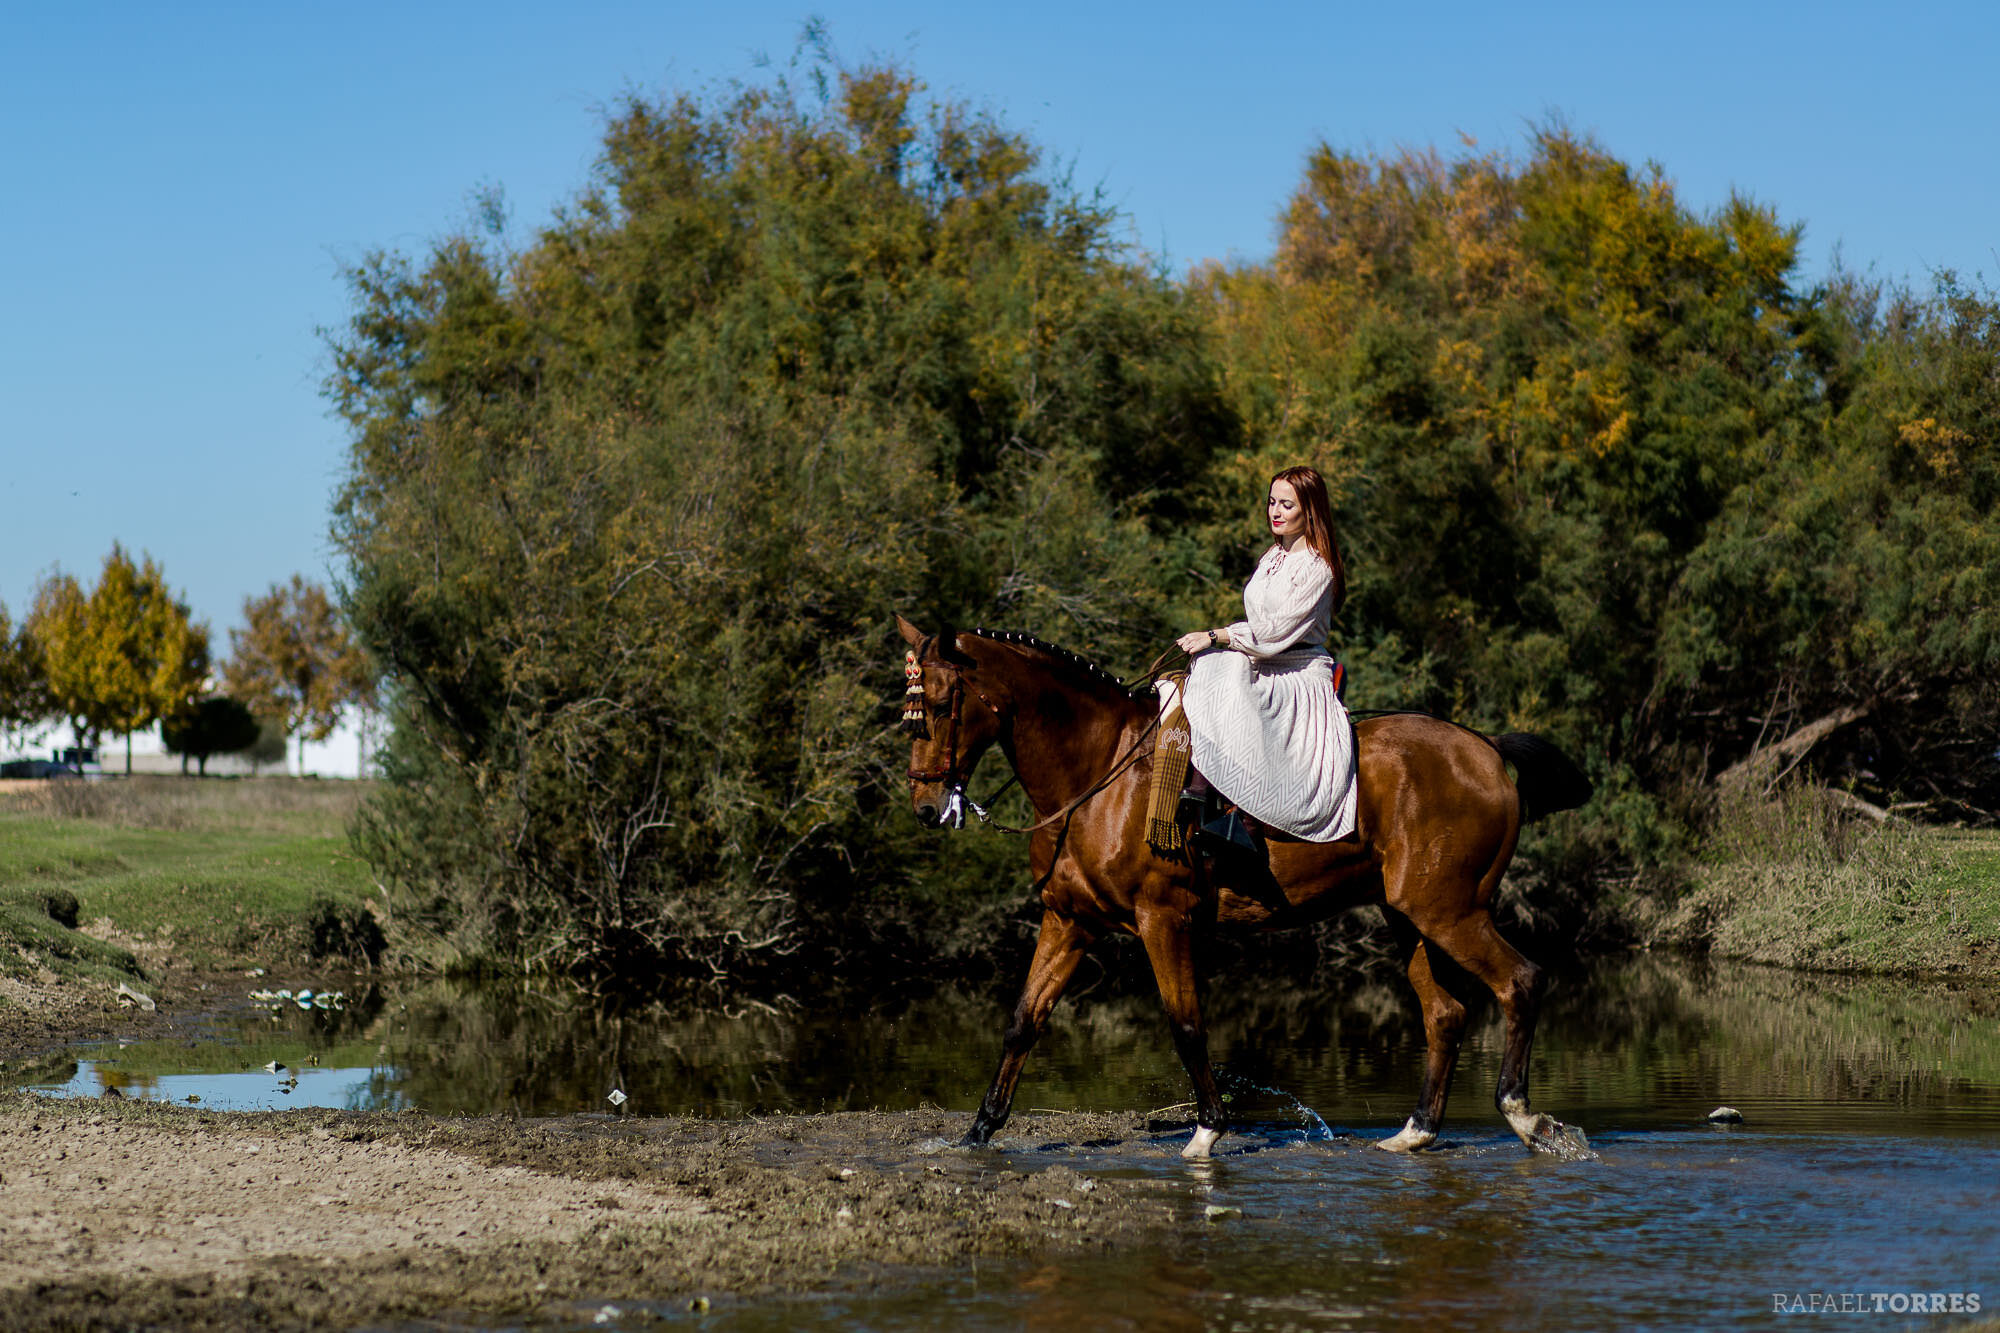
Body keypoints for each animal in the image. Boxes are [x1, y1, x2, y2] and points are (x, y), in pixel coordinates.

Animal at [896, 612, 1592, 1152]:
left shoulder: (1162, 920)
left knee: (1520, 981)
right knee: (1445, 1014)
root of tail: (1485, 748)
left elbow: (1185, 1024)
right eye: (909, 713)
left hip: (1452, 912)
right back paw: (1415, 1132)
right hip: (1410, 917)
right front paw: (979, 1132)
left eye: (940, 705)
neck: (1099, 775)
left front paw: (1209, 1129)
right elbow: (1023, 1019)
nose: (927, 808)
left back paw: (1525, 1117)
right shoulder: (1070, 921)